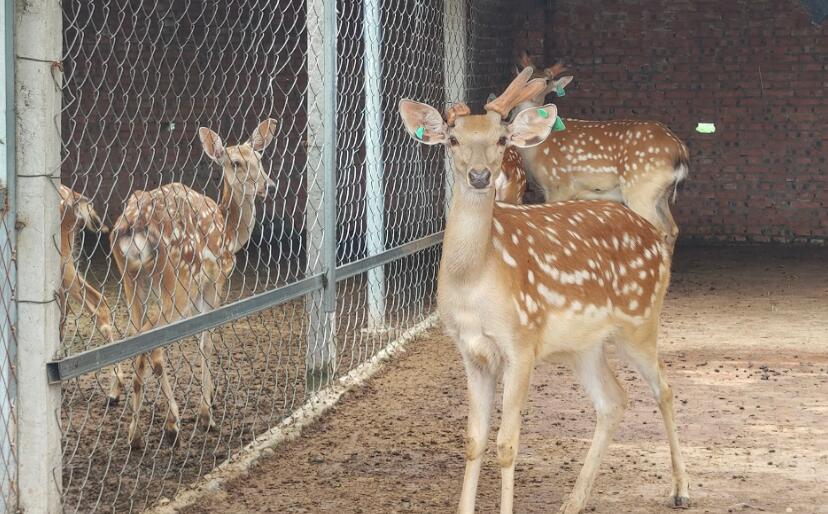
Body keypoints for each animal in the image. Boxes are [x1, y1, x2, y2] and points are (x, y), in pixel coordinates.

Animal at [108, 118, 278, 446]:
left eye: (259, 157)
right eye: (235, 162)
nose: (268, 185)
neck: (230, 233)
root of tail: (133, 225)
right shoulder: (216, 280)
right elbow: (206, 340)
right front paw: (206, 412)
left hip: (131, 279)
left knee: (134, 336)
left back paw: (135, 433)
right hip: (177, 279)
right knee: (153, 341)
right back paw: (172, 424)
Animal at [508, 53, 688, 249]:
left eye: (547, 80)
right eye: (527, 76)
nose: (531, 91)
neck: (537, 150)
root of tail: (680, 149)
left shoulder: (559, 185)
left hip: (640, 188)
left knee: (660, 231)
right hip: (662, 194)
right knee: (673, 229)